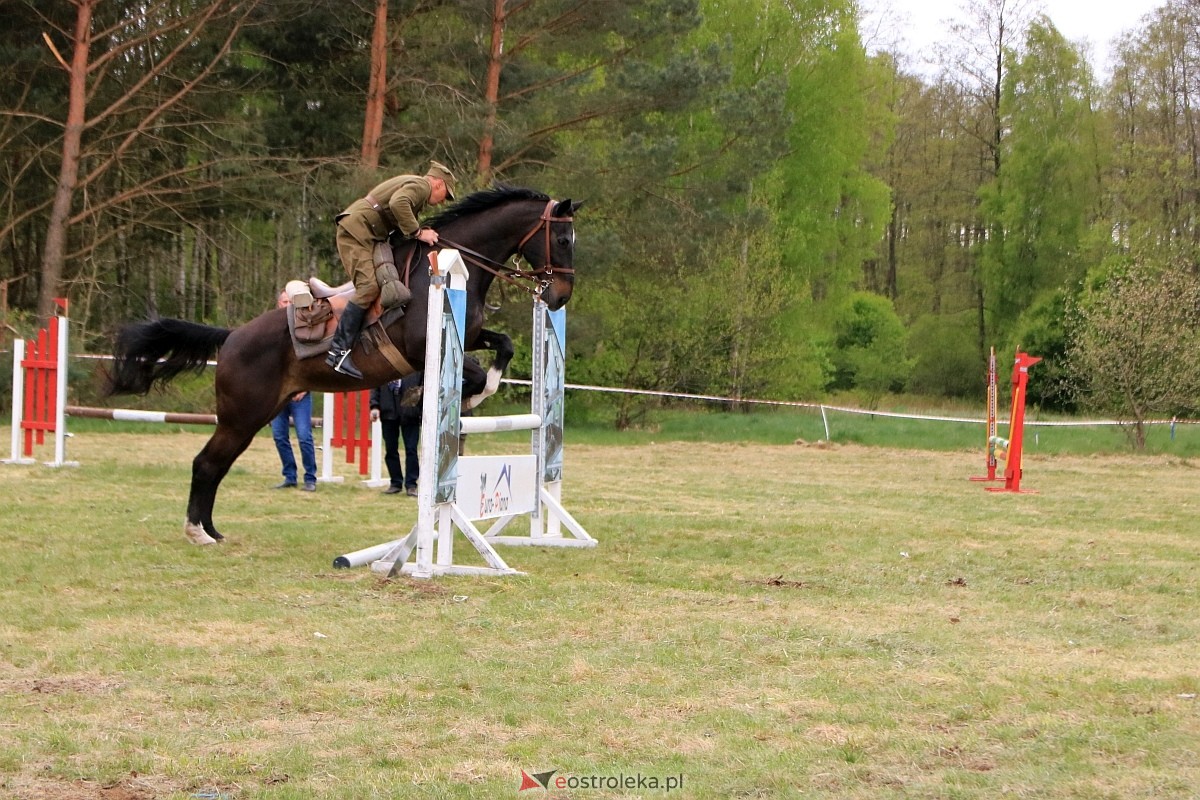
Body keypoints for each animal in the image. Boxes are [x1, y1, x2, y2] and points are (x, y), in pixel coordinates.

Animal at [105, 185, 583, 544]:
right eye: (562, 240)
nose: (559, 297)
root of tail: (233, 336)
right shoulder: (422, 346)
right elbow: (476, 373)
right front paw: (426, 395)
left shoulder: (471, 334)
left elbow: (503, 347)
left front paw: (459, 394)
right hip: (242, 415)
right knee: (206, 464)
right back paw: (197, 532)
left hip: (253, 416)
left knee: (215, 465)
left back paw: (211, 530)